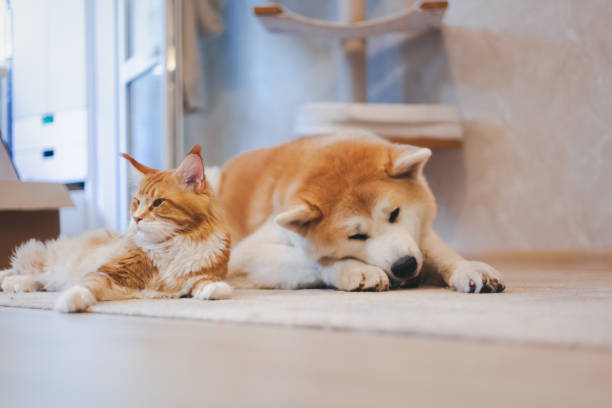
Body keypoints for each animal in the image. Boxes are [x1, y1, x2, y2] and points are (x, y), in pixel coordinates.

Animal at [0, 145, 232, 310]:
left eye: (158, 202)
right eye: (137, 202)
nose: (136, 218)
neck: (171, 244)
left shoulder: (199, 273)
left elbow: (204, 282)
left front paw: (215, 288)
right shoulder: (109, 271)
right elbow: (87, 284)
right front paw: (71, 299)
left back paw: (18, 285)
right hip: (45, 262)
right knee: (21, 271)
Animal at [218, 132, 504, 294]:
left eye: (395, 213)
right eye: (355, 237)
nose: (405, 265)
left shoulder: (419, 235)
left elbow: (440, 253)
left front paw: (469, 268)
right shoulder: (245, 255)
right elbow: (312, 259)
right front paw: (355, 270)